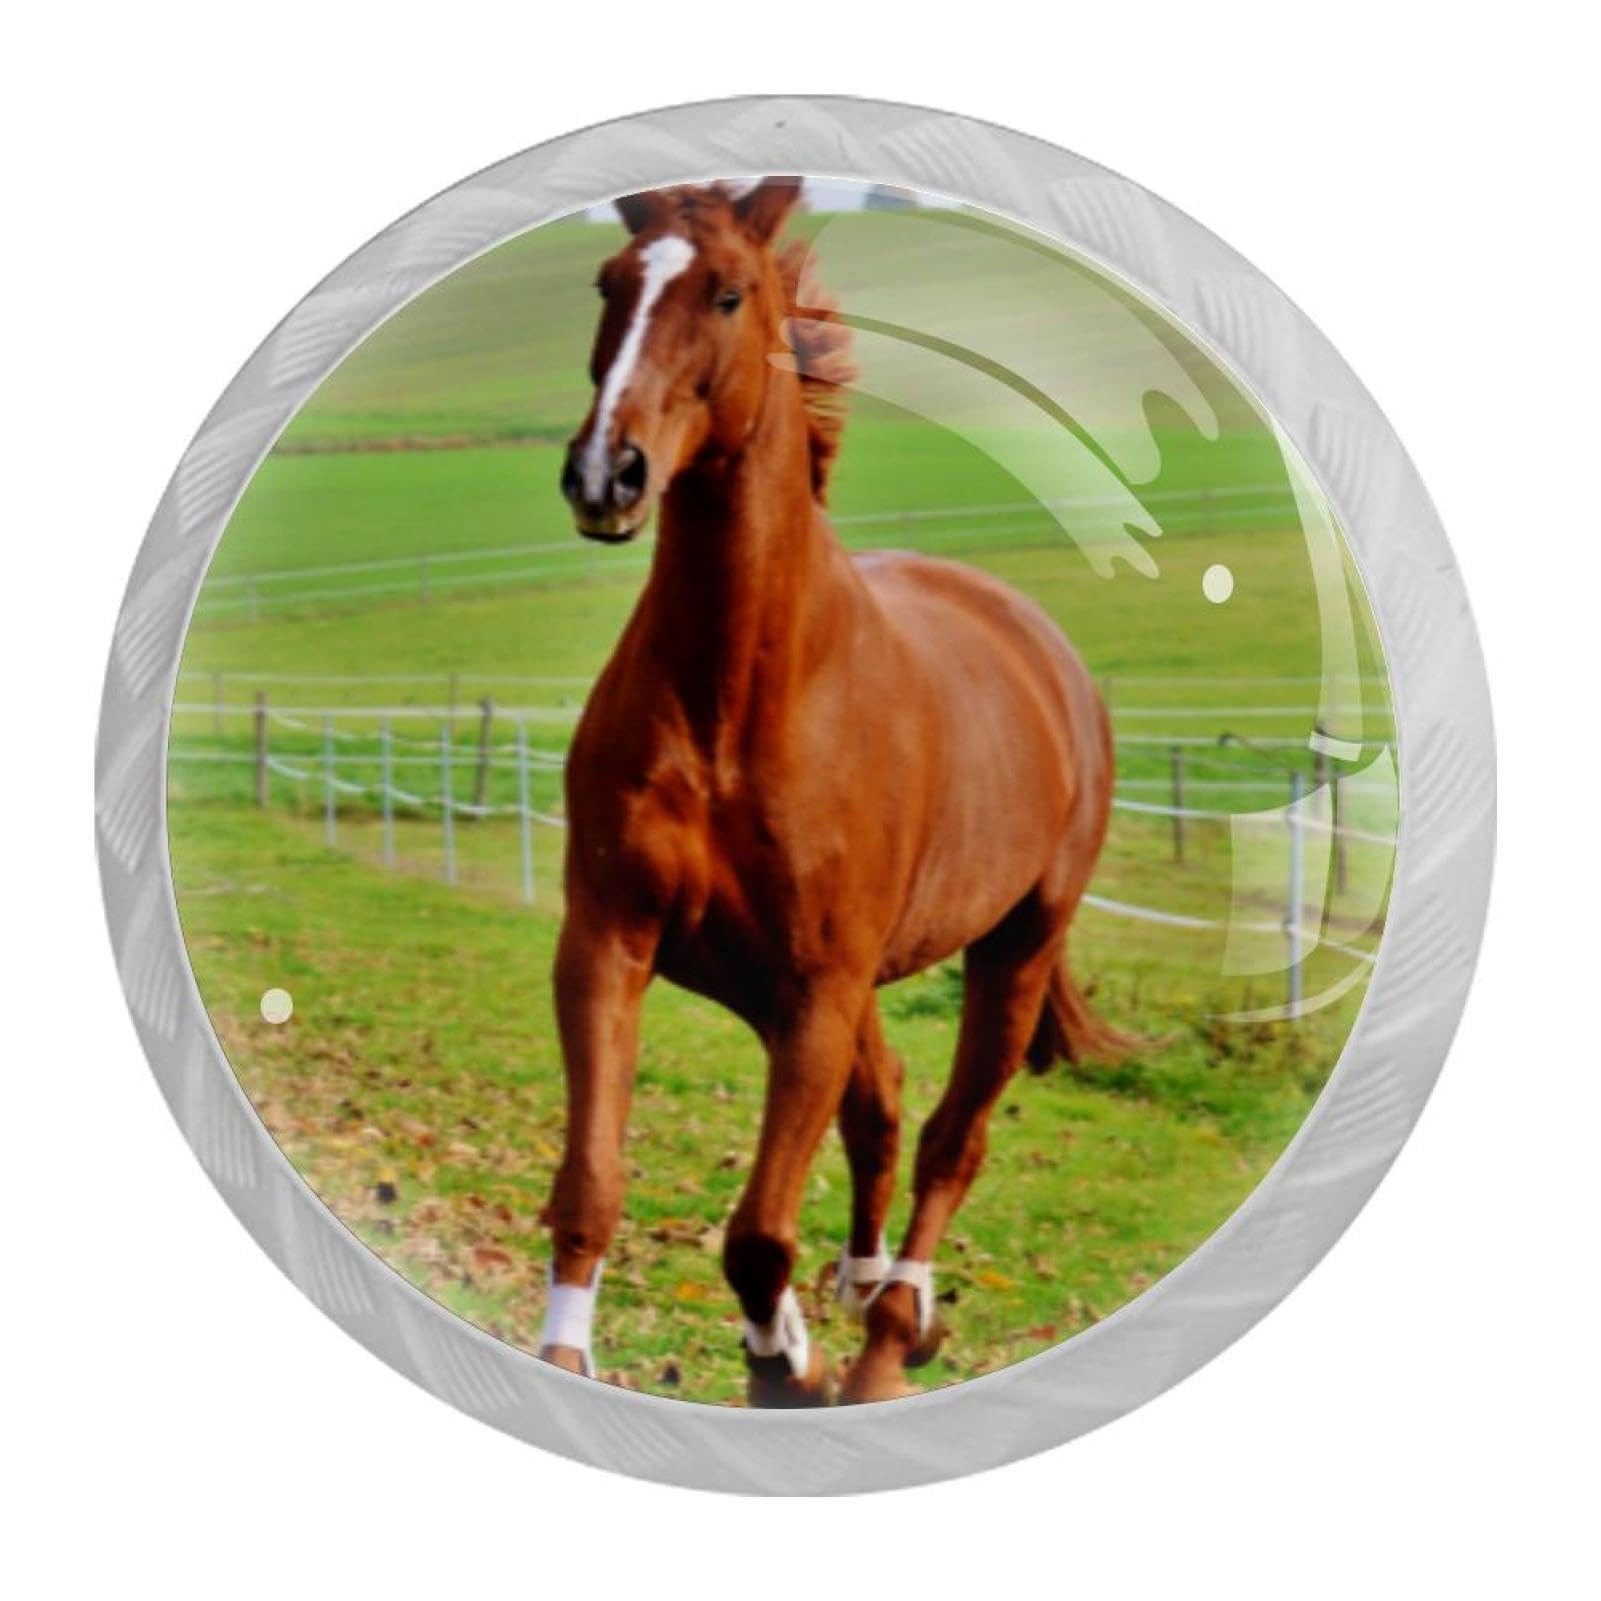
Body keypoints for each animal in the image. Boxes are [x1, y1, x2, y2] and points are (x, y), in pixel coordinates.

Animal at [537, 178, 1126, 1406]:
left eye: (725, 293)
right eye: (609, 285)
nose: (606, 474)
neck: (737, 699)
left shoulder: (816, 983)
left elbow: (758, 1234)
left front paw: (789, 1367)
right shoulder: (611, 941)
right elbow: (593, 1182)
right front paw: (571, 1352)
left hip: (1011, 947)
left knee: (951, 1134)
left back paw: (893, 1327)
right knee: (883, 1102)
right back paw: (858, 1295)